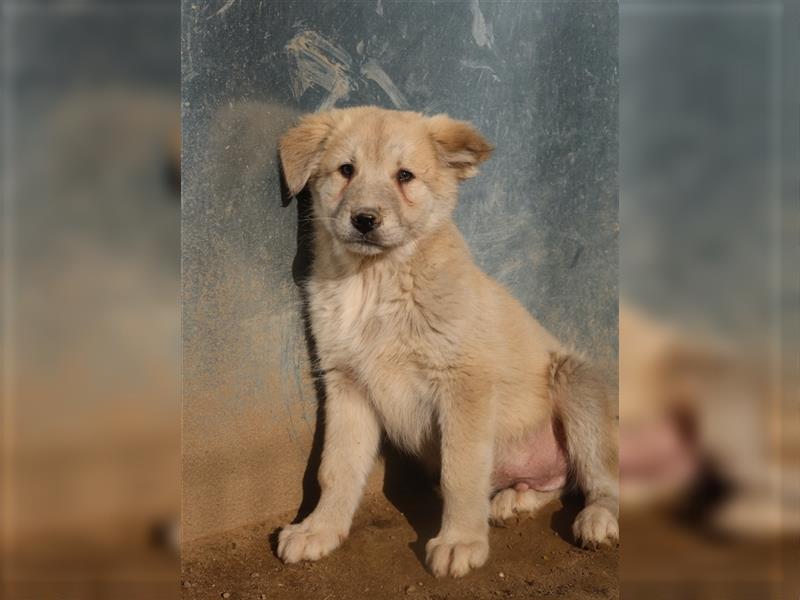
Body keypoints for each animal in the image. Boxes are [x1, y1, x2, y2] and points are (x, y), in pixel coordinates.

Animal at [276, 106, 620, 576]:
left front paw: (460, 540)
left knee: (601, 479)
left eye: (404, 176)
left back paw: (597, 518)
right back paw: (517, 498)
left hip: (575, 382)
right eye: (346, 170)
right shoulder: (346, 384)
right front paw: (320, 529)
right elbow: (336, 468)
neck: (375, 281)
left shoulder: (464, 383)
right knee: (561, 480)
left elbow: (460, 472)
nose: (364, 220)